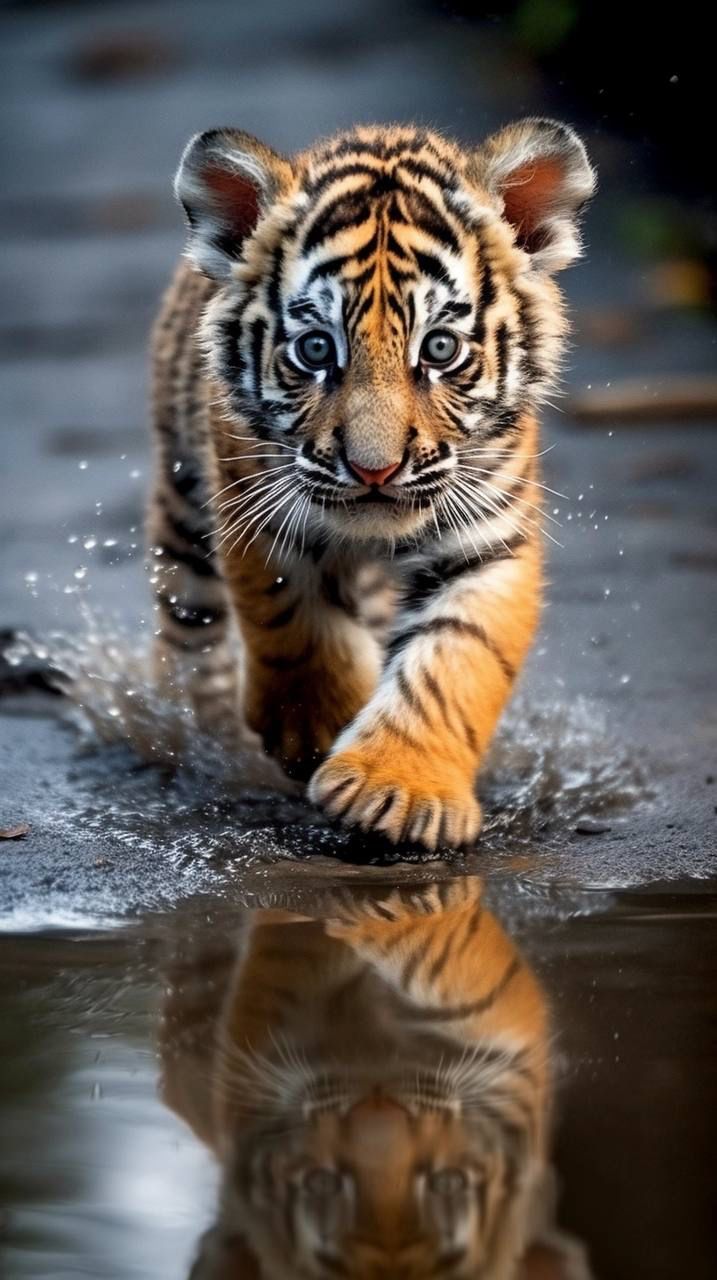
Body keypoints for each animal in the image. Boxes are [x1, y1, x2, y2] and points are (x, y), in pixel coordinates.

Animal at [148, 120, 595, 846]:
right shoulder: (257, 503)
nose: (374, 469)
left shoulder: (487, 539)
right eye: (315, 350)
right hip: (183, 507)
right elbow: (292, 618)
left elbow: (456, 656)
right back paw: (194, 730)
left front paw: (396, 790)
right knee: (188, 630)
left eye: (439, 349)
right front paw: (320, 727)